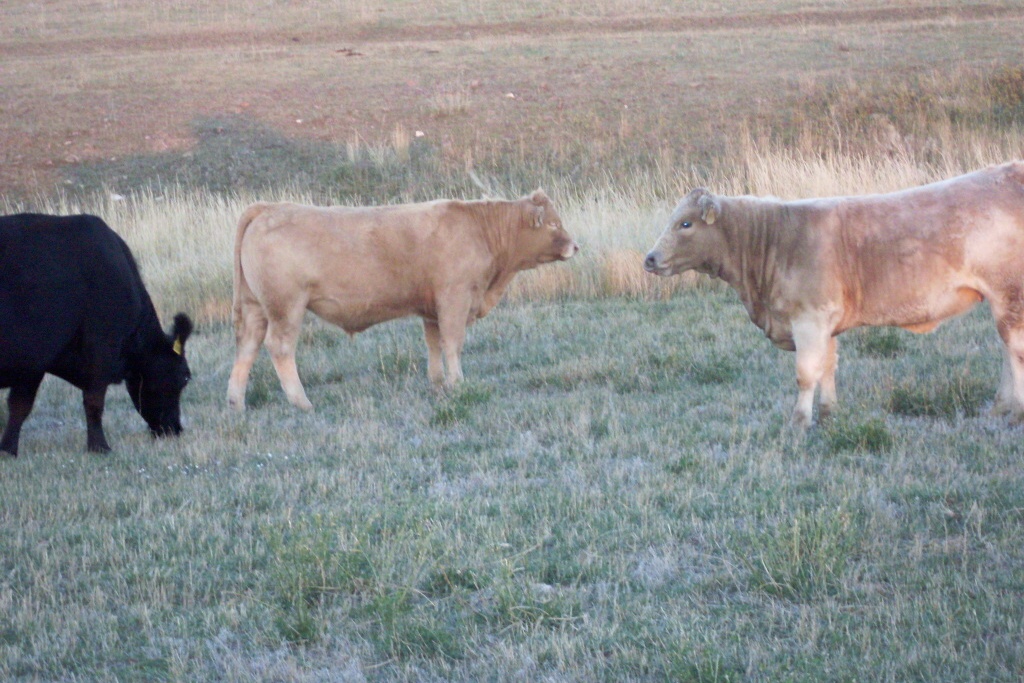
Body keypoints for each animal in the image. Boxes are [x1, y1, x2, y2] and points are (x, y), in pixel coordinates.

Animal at [0, 213, 194, 457]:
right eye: (185, 377)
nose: (175, 429)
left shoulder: (33, 364)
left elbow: (19, 406)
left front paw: (8, 450)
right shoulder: (101, 348)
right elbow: (94, 402)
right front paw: (99, 447)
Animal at [227, 190, 579, 411]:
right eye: (553, 223)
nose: (575, 246)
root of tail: (269, 208)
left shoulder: (432, 308)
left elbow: (434, 344)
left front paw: (438, 384)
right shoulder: (455, 297)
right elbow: (453, 342)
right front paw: (458, 383)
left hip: (255, 307)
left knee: (247, 346)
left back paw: (236, 402)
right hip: (286, 307)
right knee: (280, 347)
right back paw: (301, 402)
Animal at [643, 162, 1024, 428]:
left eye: (685, 224)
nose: (650, 258)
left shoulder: (809, 319)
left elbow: (806, 372)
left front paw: (798, 424)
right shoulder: (826, 323)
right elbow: (828, 366)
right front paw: (828, 416)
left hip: (1009, 294)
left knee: (1014, 349)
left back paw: (1015, 415)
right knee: (1006, 350)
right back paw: (998, 409)